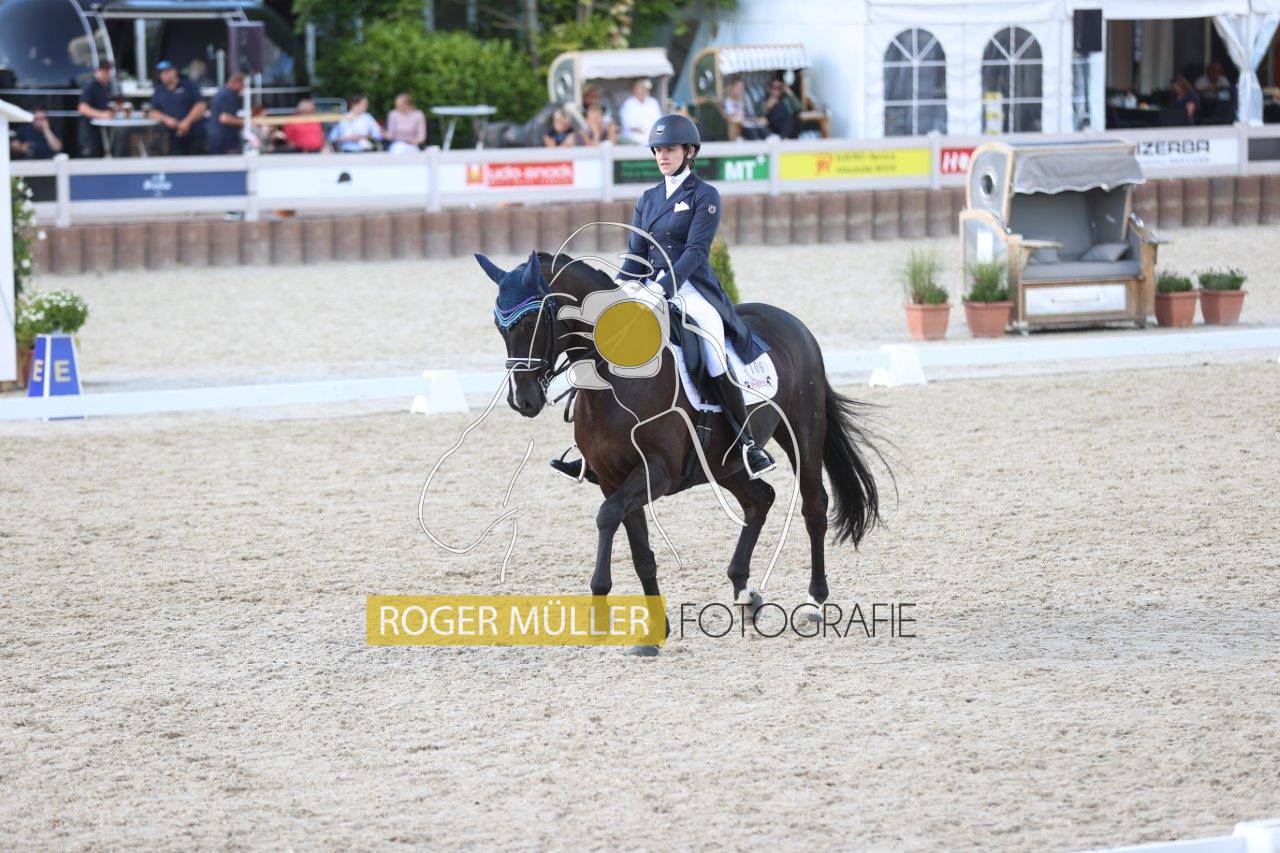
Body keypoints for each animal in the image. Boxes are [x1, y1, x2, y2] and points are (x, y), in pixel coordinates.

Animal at [479, 250, 887, 648]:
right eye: (500, 327)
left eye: (532, 323)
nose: (523, 401)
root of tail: (794, 324)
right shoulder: (613, 477)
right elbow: (640, 551)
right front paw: (654, 630)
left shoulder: (656, 472)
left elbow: (606, 517)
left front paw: (599, 613)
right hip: (723, 463)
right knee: (760, 498)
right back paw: (746, 594)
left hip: (803, 433)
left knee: (813, 506)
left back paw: (814, 602)